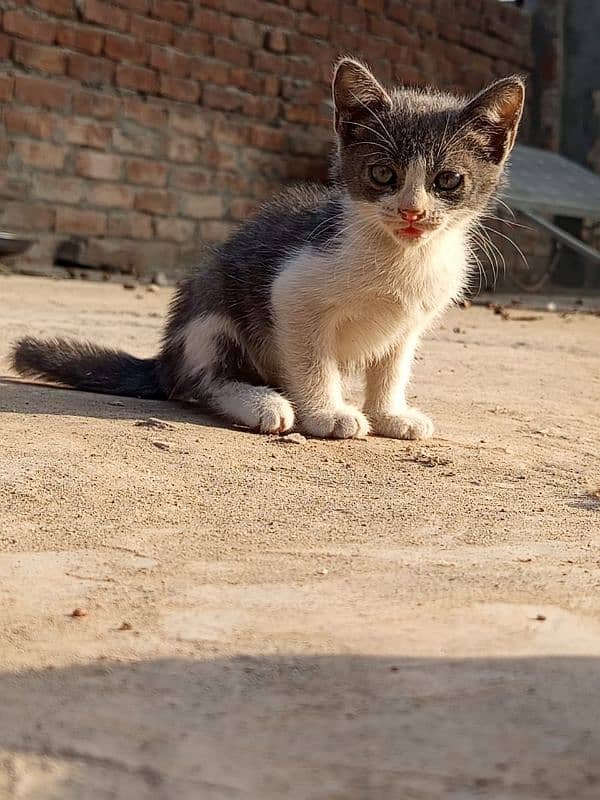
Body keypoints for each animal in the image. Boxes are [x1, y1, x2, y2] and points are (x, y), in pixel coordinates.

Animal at [11, 59, 524, 440]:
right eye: (383, 175)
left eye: (448, 180)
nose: (412, 212)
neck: (404, 257)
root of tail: (165, 357)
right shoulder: (294, 289)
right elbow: (313, 359)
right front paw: (327, 413)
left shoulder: (410, 320)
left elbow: (392, 367)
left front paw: (390, 414)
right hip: (212, 310)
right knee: (202, 380)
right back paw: (264, 403)